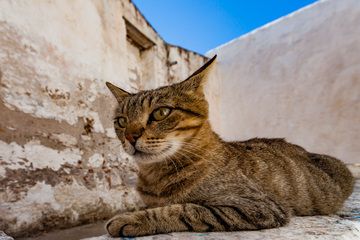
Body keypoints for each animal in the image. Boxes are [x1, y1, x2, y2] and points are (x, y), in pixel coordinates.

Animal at [104, 55, 354, 237]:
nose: (131, 136)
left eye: (161, 113)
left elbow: (187, 209)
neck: (155, 176)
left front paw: (132, 219)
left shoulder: (258, 207)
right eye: (121, 121)